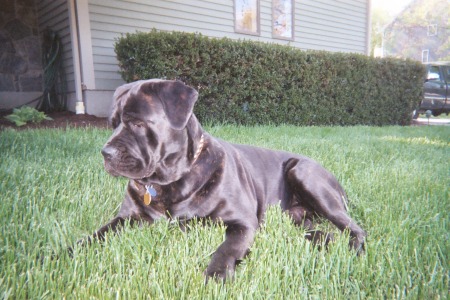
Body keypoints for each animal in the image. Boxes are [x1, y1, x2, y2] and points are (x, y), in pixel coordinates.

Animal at [76, 79, 366, 282]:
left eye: (137, 123)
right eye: (112, 123)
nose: (106, 152)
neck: (168, 182)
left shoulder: (242, 223)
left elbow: (226, 249)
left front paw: (215, 275)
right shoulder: (125, 218)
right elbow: (95, 235)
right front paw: (67, 252)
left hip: (305, 173)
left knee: (355, 228)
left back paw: (355, 250)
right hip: (296, 217)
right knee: (314, 230)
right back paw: (326, 241)